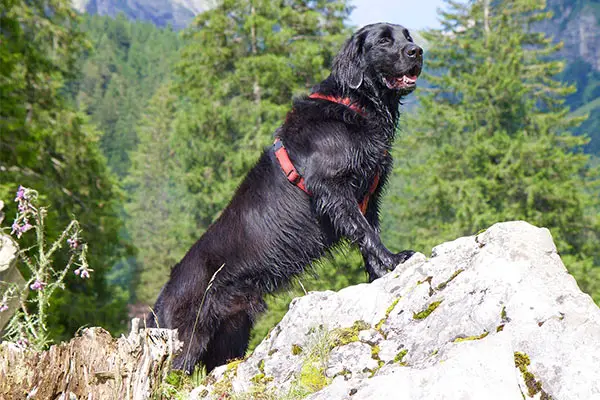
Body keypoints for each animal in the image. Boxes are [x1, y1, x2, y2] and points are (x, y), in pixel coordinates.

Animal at [149, 21, 422, 372]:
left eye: (408, 36)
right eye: (385, 40)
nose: (417, 51)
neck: (352, 106)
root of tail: (160, 302)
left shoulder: (369, 197)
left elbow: (368, 234)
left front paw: (378, 274)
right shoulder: (333, 188)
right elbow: (364, 231)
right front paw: (394, 259)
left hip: (231, 332)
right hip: (186, 344)